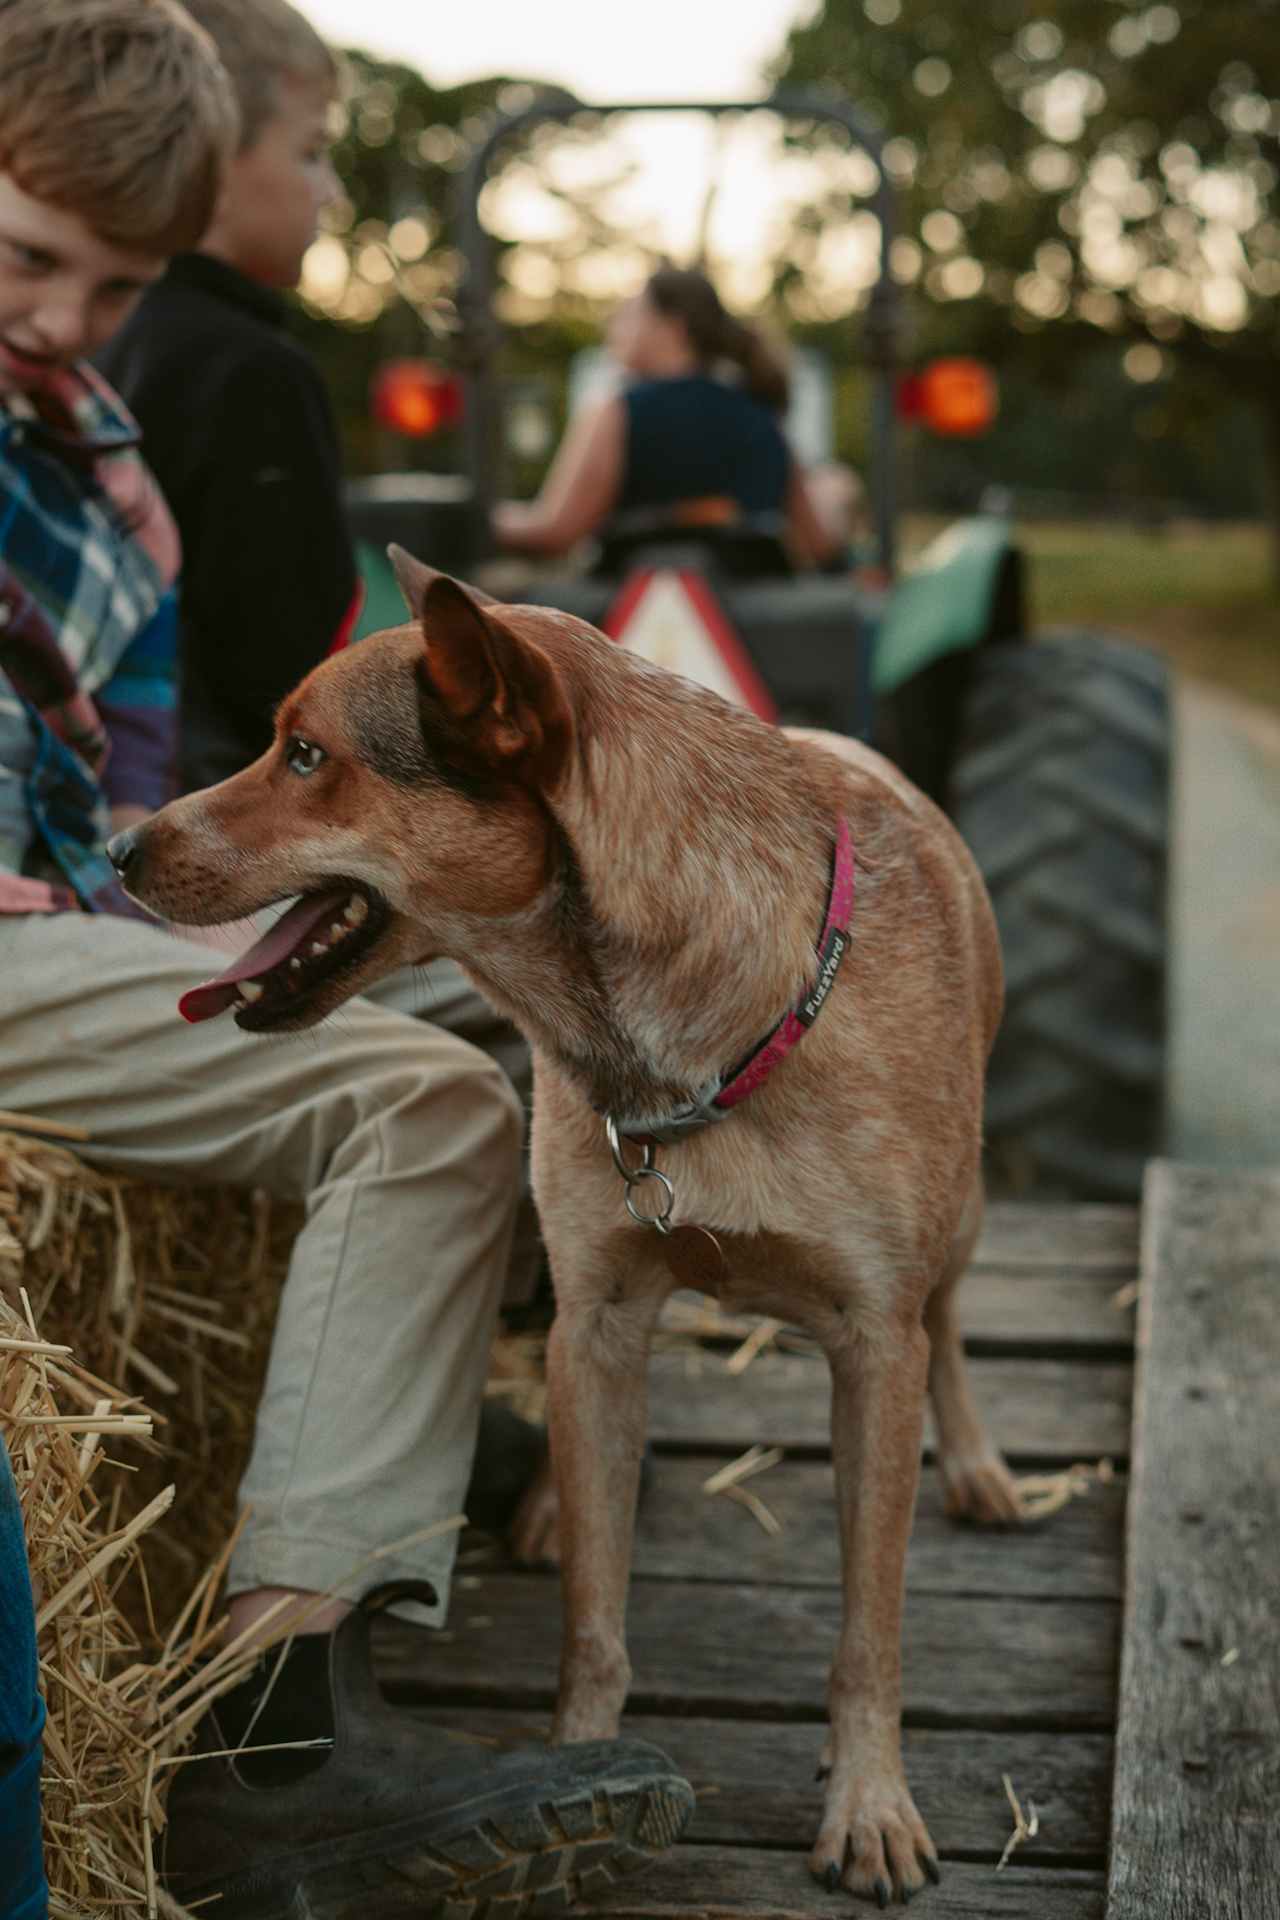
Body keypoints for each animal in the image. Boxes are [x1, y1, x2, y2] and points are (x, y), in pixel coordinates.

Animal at [115, 552, 1028, 1904]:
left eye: (305, 755)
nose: (114, 844)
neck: (685, 1042)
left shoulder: (874, 1345)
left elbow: (869, 1632)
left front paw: (868, 1805)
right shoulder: (597, 1317)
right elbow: (592, 1622)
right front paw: (574, 1778)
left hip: (956, 1224)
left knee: (955, 1321)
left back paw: (973, 1462)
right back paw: (552, 1504)